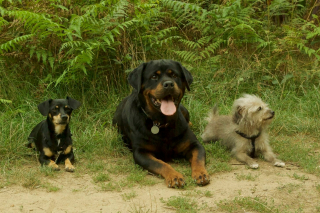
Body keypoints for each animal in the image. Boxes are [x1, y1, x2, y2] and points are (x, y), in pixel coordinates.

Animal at [112, 59, 210, 187]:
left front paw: (201, 174)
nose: (168, 84)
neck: (161, 122)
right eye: (154, 76)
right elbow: (160, 164)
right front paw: (174, 176)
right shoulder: (141, 152)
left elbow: (198, 158)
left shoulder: (194, 144)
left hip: (184, 110)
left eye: (174, 75)